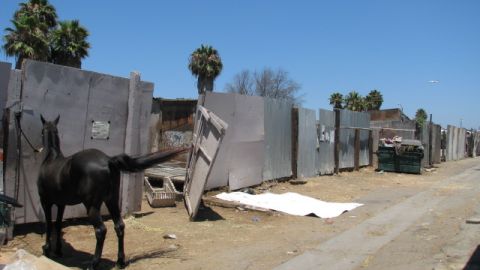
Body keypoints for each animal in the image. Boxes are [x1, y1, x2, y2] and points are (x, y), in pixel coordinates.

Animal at [37, 115, 187, 268]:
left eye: (42, 131)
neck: (51, 158)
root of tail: (108, 160)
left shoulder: (45, 201)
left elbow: (49, 224)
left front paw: (47, 249)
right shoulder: (61, 204)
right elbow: (58, 224)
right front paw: (58, 250)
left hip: (92, 206)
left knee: (101, 230)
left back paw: (94, 263)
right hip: (112, 201)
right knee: (119, 226)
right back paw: (120, 261)